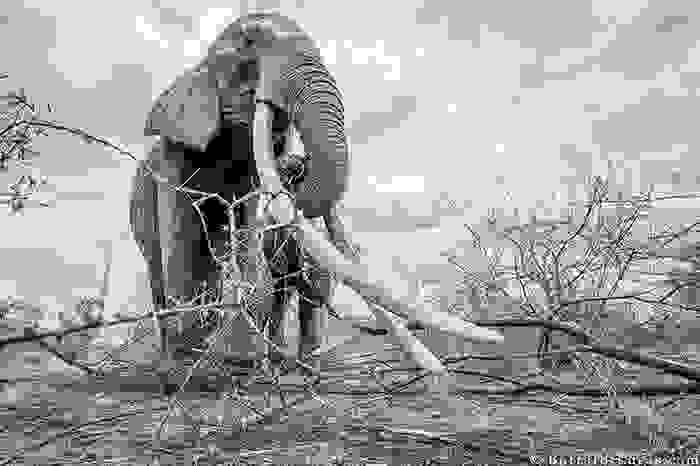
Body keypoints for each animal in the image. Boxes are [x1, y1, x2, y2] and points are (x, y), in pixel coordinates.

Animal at [129, 12, 350, 382]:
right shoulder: (172, 159)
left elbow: (247, 234)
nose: (296, 164)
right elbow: (181, 239)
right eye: (249, 43)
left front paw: (240, 364)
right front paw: (188, 373)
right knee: (161, 271)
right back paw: (176, 360)